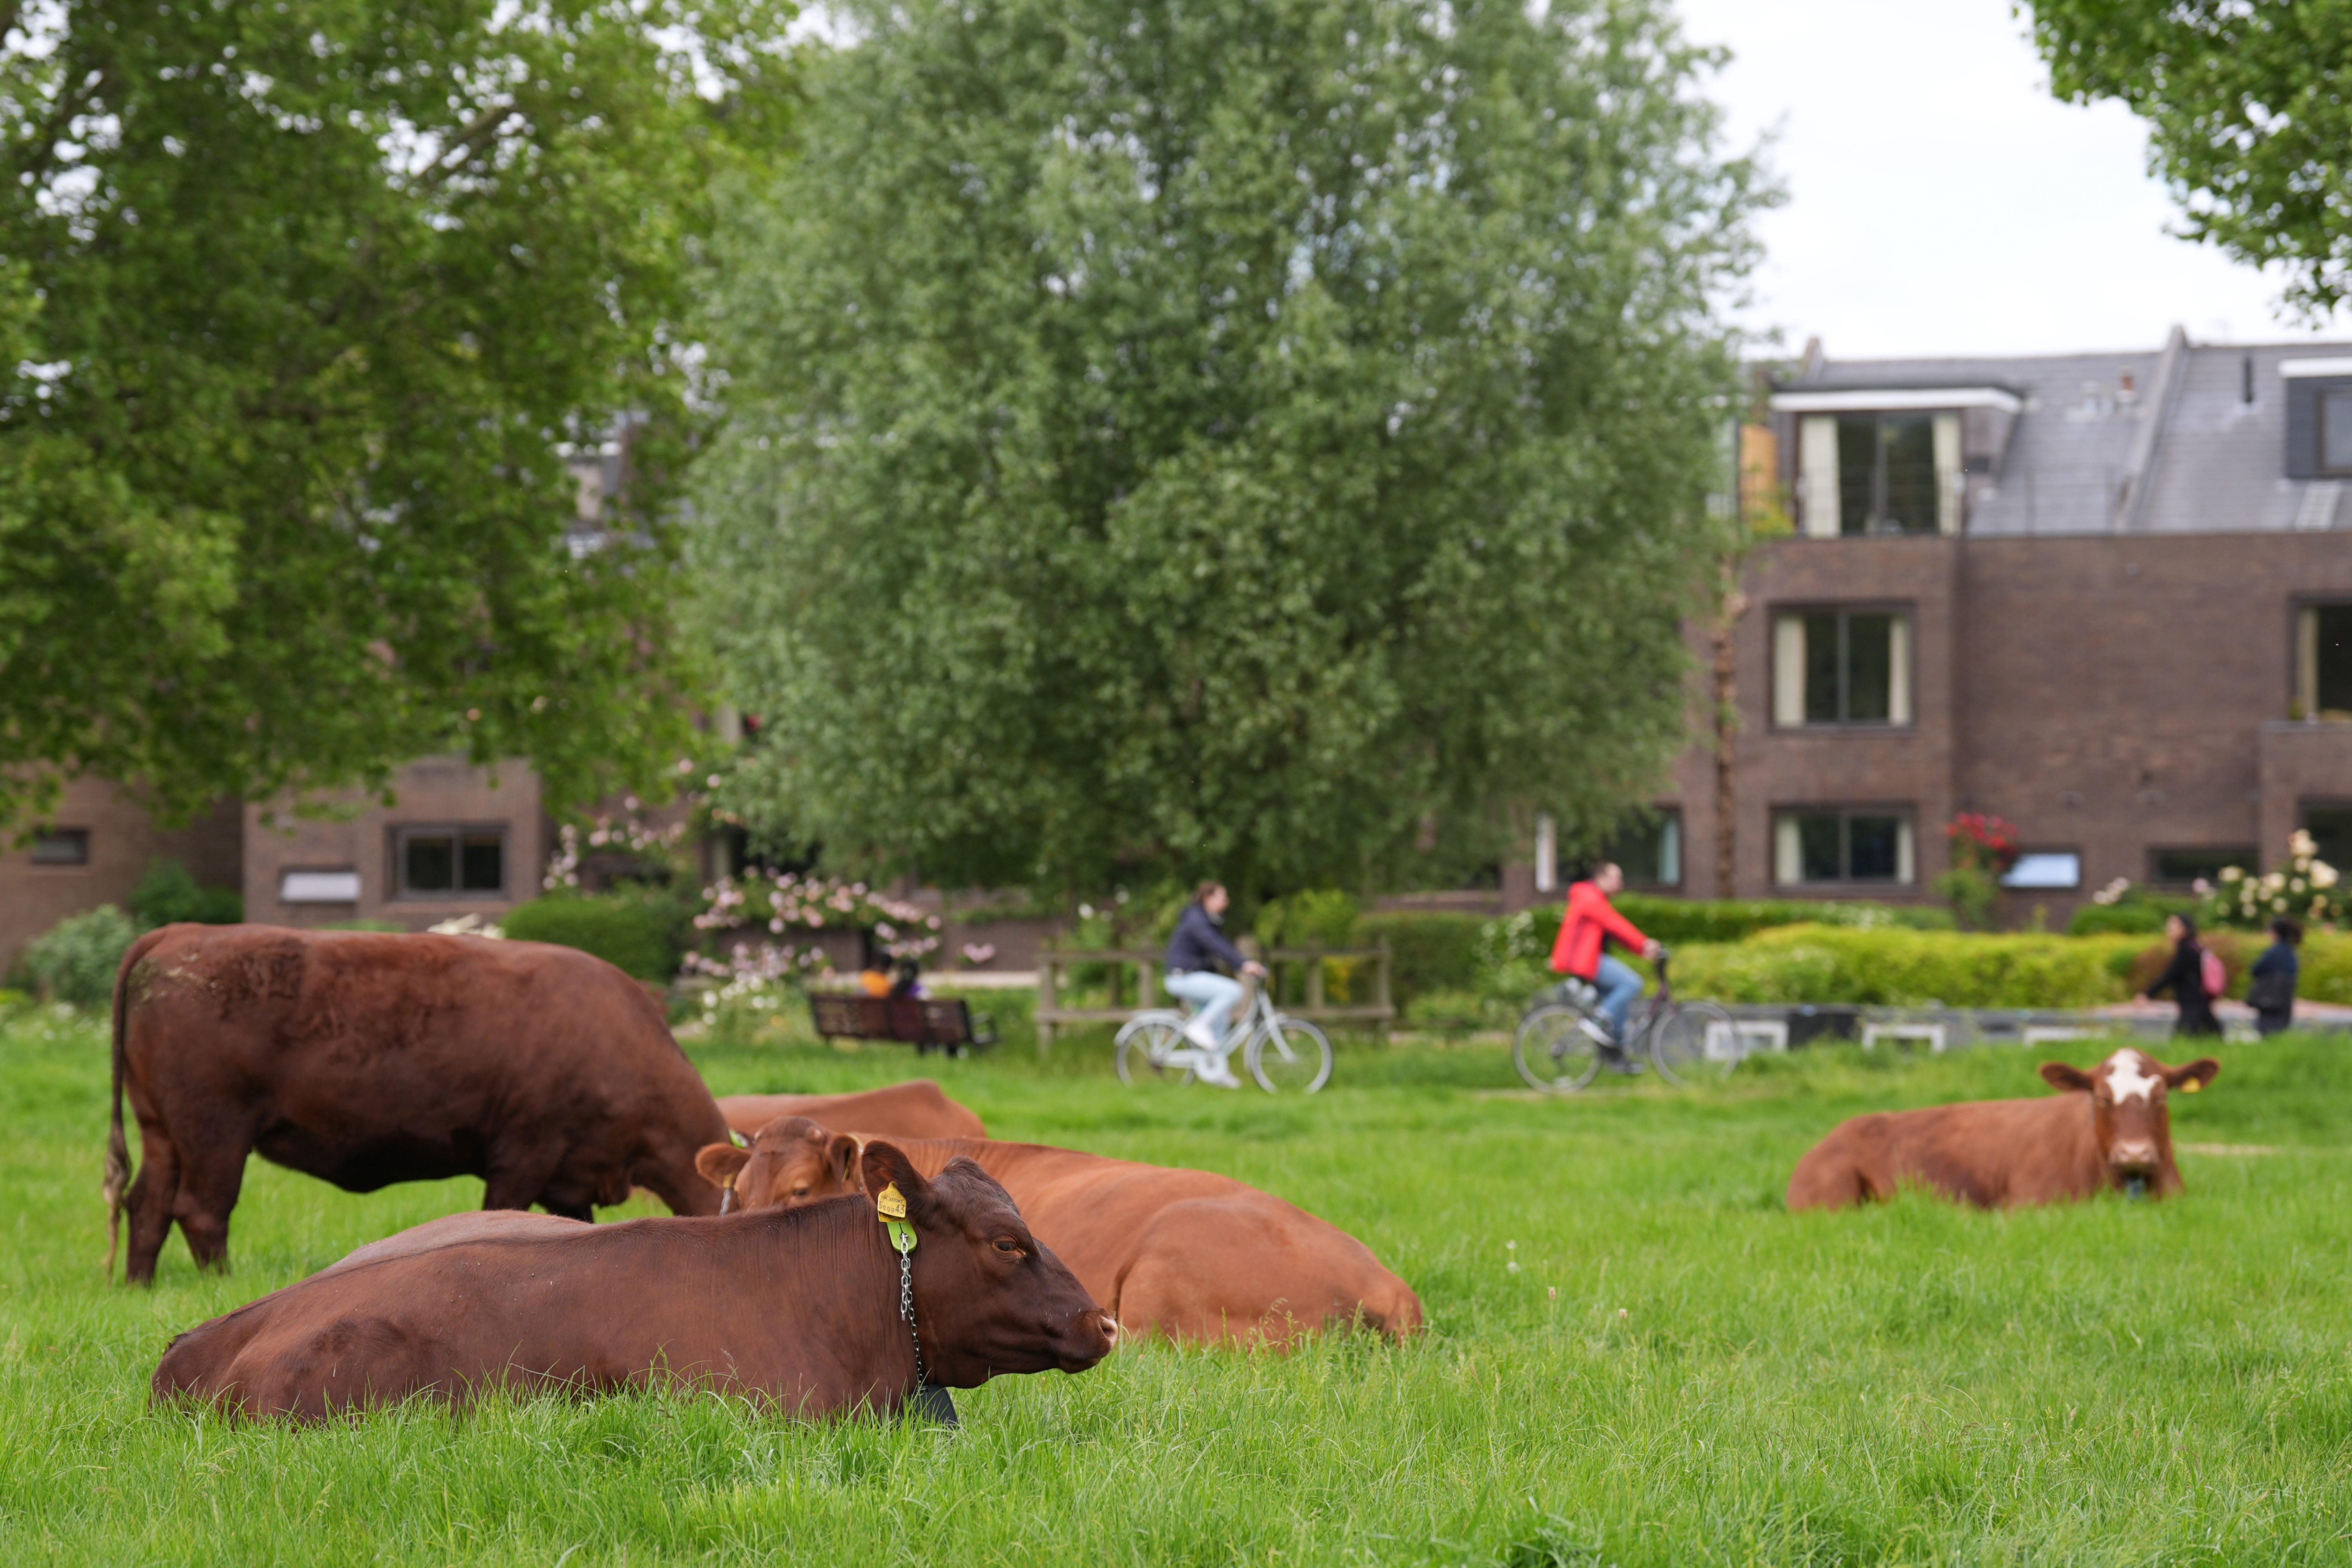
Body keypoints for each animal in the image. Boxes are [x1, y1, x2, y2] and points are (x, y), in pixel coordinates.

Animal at [106, 924, 734, 1284]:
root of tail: (178, 935)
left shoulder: (570, 1174)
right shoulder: (525, 1152)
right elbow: (503, 1212)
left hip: (162, 1129)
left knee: (148, 1204)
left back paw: (140, 1284)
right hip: (214, 1129)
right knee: (201, 1209)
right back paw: (224, 1284)